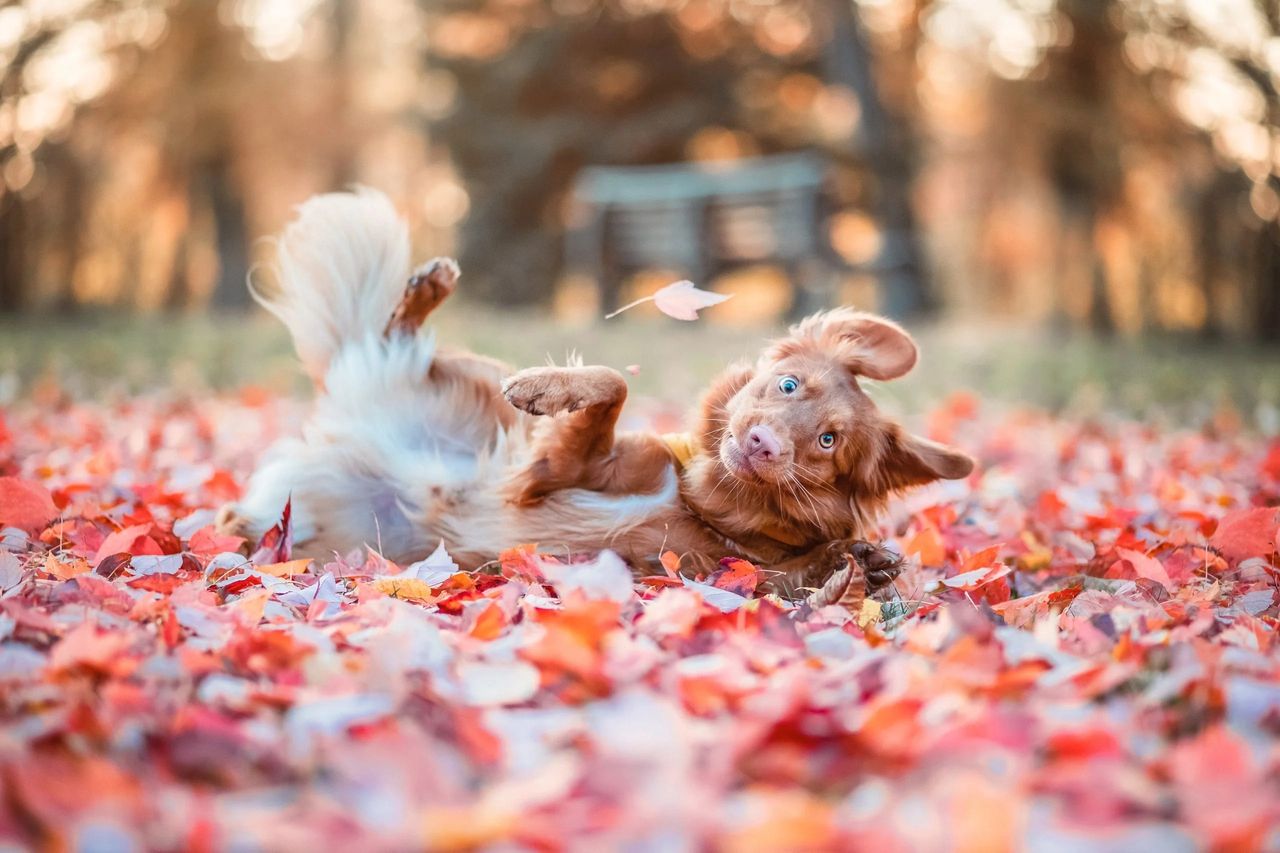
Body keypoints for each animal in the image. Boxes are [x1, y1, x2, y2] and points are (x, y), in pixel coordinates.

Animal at [220, 189, 972, 594]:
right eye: (788, 384)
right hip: (473, 378)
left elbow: (803, 572)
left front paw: (862, 565)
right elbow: (610, 383)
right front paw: (545, 389)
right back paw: (427, 288)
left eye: (827, 442)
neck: (702, 500)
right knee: (394, 337)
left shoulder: (704, 571)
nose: (761, 443)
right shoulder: (559, 468)